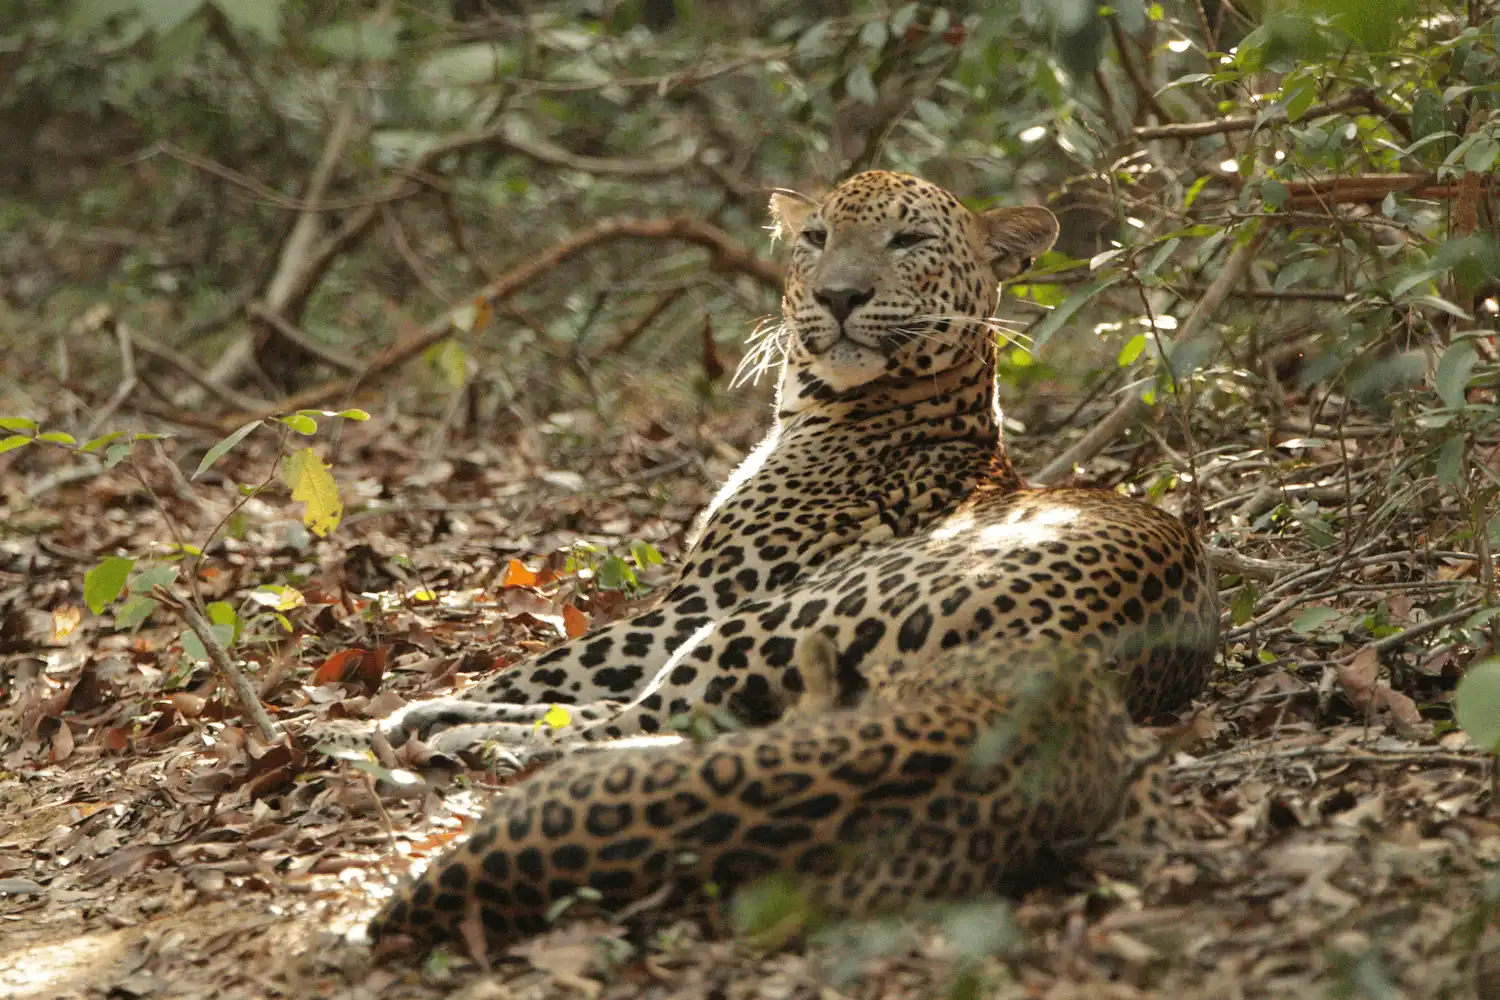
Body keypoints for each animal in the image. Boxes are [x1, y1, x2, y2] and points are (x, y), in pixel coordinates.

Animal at [351, 169, 1218, 953]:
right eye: (818, 237)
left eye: (908, 240)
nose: (839, 296)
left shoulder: (699, 600)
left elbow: (548, 666)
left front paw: (399, 713)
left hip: (763, 621)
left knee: (626, 723)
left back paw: (445, 733)